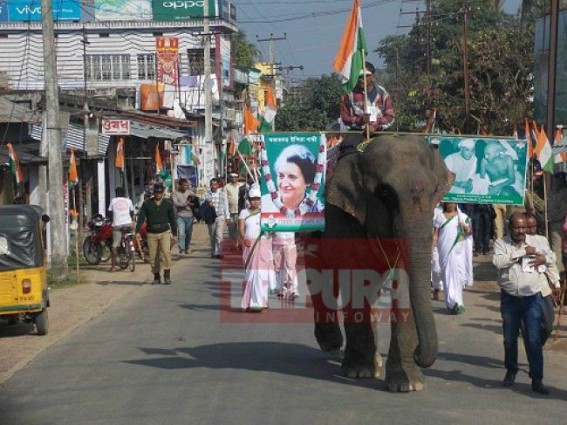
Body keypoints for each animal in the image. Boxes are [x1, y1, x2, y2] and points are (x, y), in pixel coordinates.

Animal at [304, 133, 454, 390]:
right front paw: (358, 372)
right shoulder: (344, 213)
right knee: (319, 273)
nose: (418, 353)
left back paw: (375, 364)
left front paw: (408, 385)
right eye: (385, 194)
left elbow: (403, 279)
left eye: (435, 191)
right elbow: (353, 276)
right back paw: (332, 344)